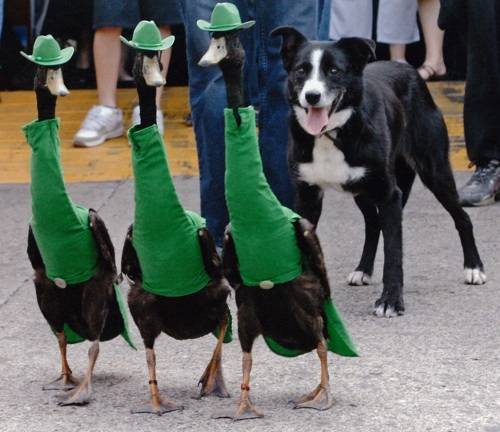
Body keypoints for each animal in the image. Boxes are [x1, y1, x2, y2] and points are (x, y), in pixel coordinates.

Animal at [272, 27, 486, 318]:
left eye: (334, 71)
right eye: (301, 70)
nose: (312, 96)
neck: (333, 133)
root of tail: (408, 69)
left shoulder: (389, 195)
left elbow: (394, 252)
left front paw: (391, 301)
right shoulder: (307, 197)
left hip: (435, 172)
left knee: (462, 217)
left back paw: (474, 268)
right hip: (360, 188)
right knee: (373, 224)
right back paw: (363, 270)